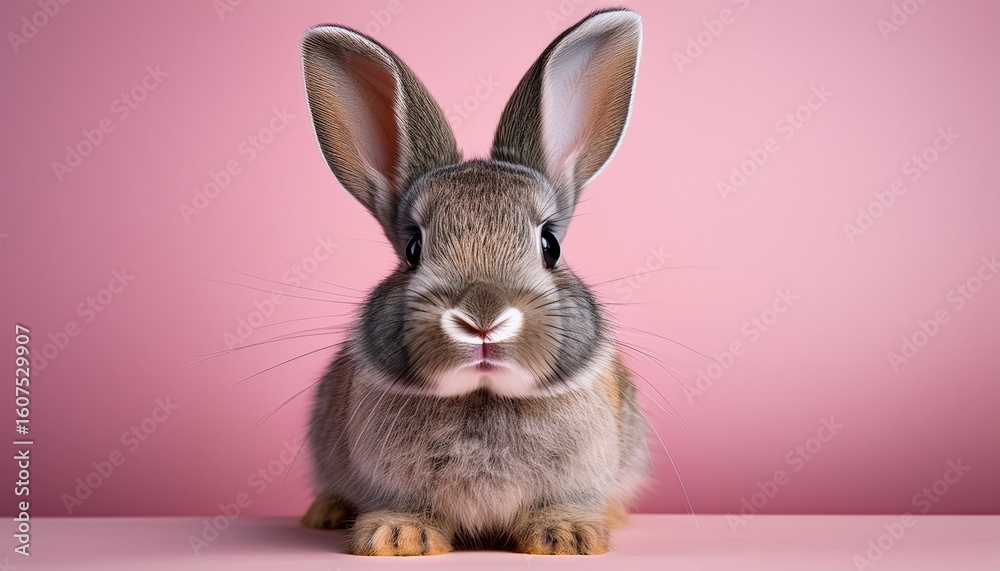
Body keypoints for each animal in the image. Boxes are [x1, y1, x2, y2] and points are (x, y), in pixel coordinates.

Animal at [298, 8, 648, 556]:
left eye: (551, 245)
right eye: (413, 250)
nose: (483, 319)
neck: (483, 395)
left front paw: (567, 537)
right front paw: (399, 538)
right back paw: (325, 513)